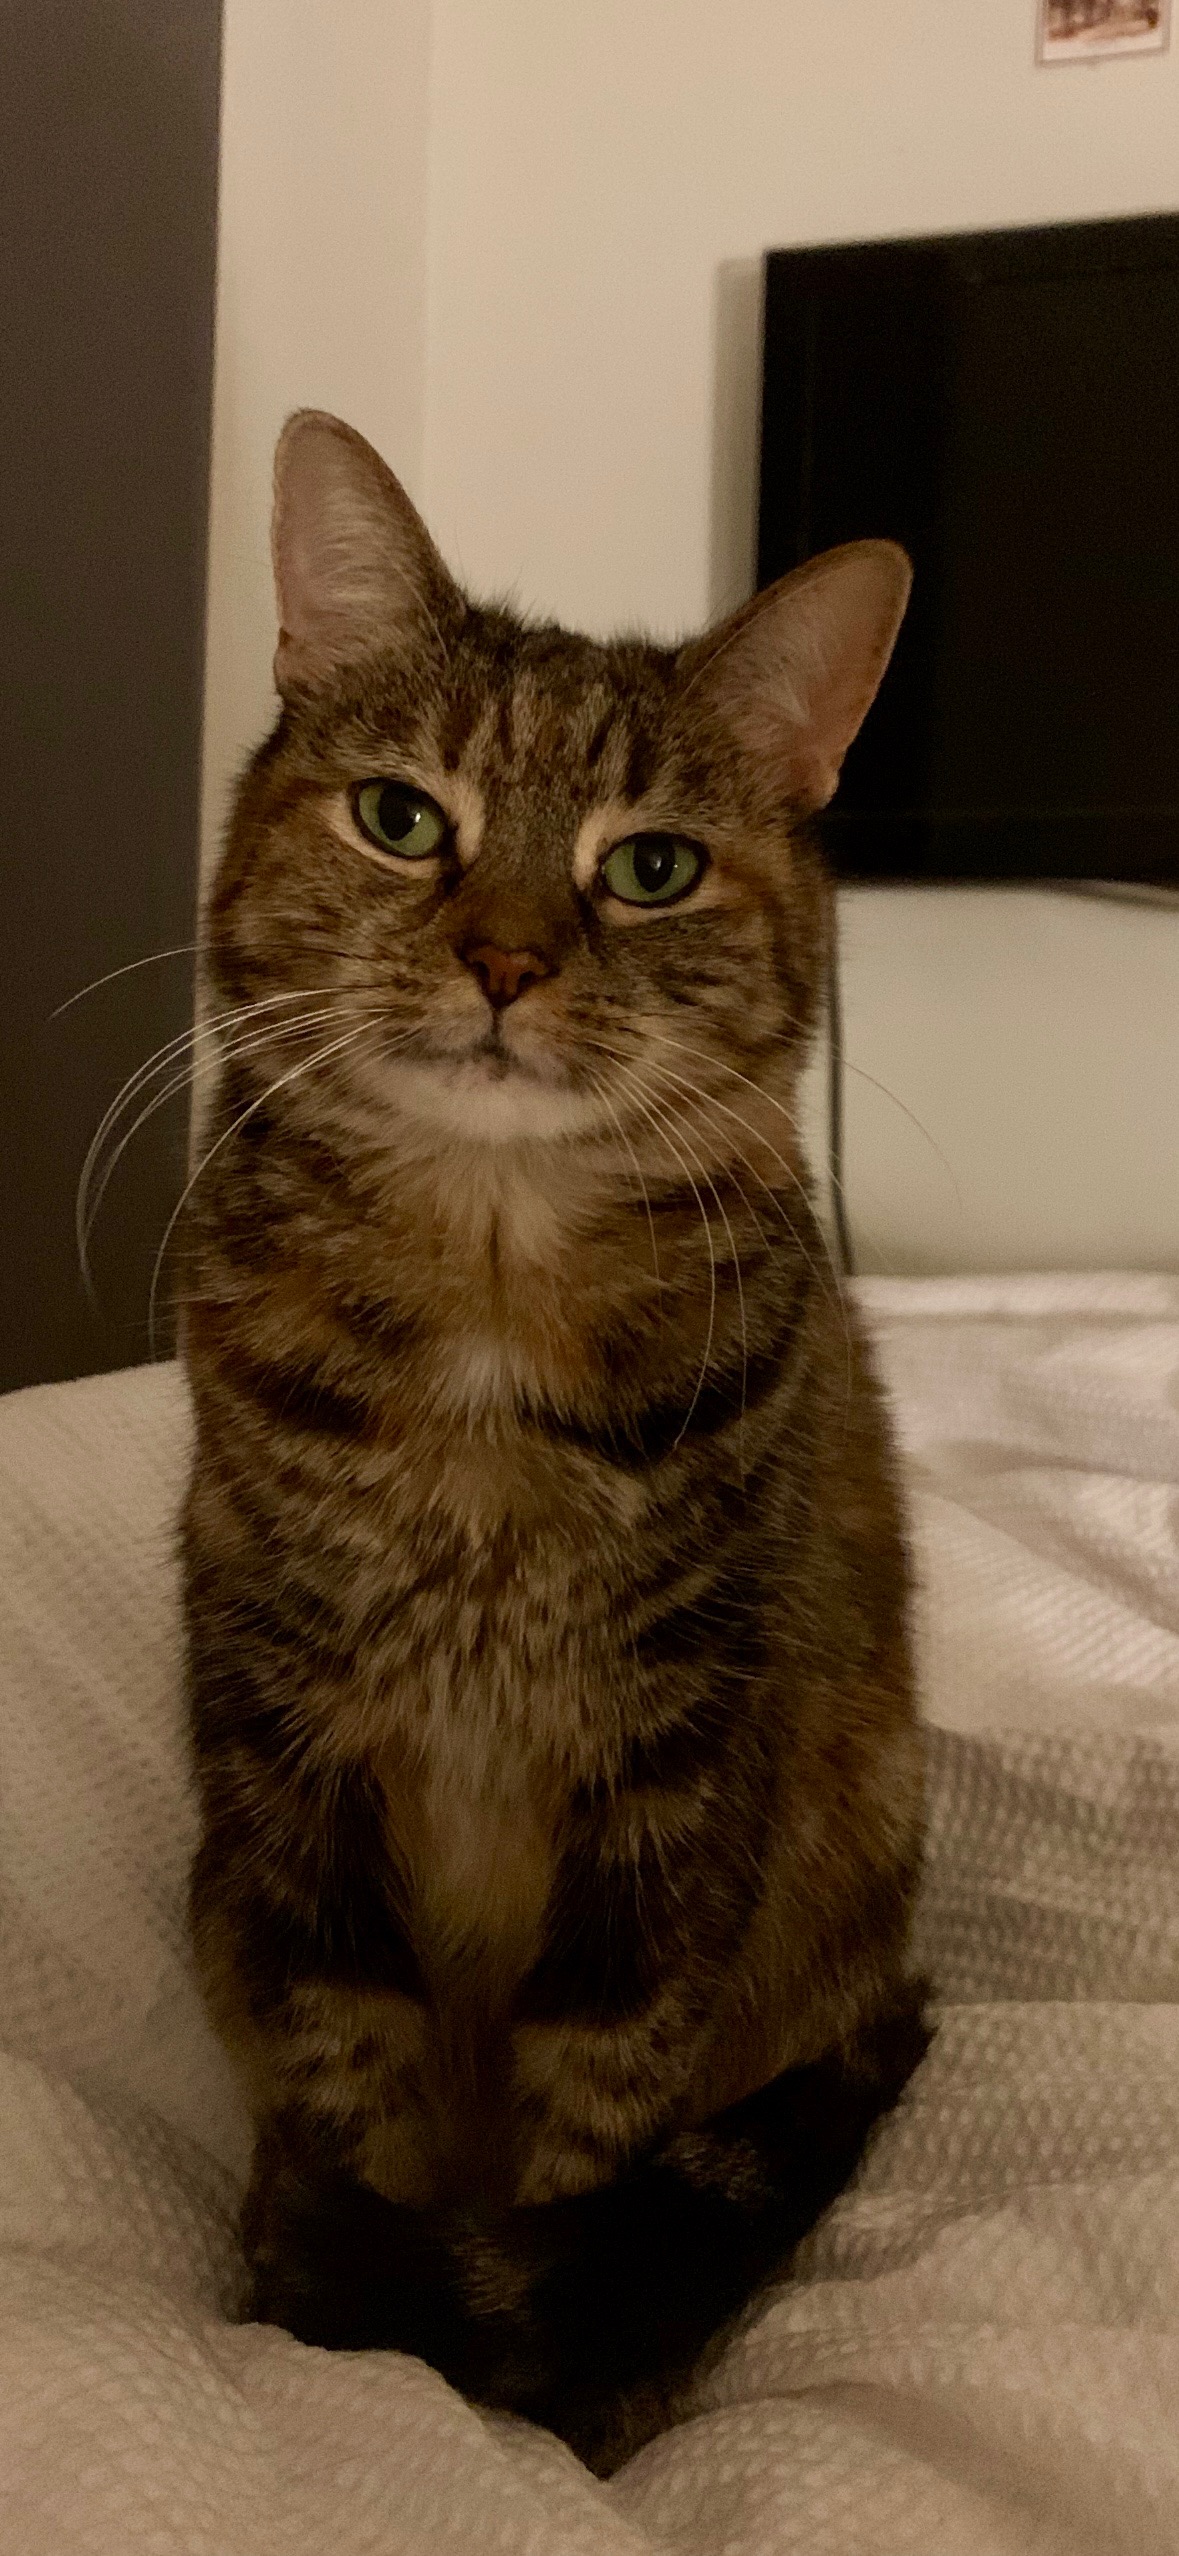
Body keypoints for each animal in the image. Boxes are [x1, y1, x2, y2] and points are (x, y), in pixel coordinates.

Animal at [182, 409, 927, 2473]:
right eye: (401, 818)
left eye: (648, 867)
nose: (508, 958)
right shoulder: (291, 1756)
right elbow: (343, 2076)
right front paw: (343, 2358)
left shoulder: (671, 1778)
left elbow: (600, 2125)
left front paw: (555, 2413)